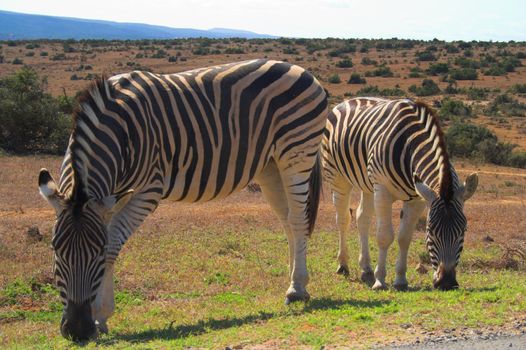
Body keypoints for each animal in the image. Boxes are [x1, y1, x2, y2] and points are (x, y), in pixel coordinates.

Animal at [39, 60, 330, 342]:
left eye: (97, 254)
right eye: (55, 249)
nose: (77, 330)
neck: (120, 134)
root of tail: (300, 69)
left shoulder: (148, 190)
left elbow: (113, 244)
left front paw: (101, 314)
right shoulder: (113, 198)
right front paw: (101, 319)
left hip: (297, 152)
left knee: (298, 219)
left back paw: (296, 289)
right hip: (270, 166)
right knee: (287, 220)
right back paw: (296, 283)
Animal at [324, 98, 480, 292]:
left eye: (463, 230)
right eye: (430, 230)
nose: (447, 283)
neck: (409, 145)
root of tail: (349, 100)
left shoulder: (418, 198)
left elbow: (404, 238)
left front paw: (400, 280)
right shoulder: (383, 190)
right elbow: (384, 236)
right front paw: (380, 281)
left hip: (368, 186)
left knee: (362, 219)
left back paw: (366, 269)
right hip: (338, 177)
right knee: (343, 219)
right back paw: (343, 265)